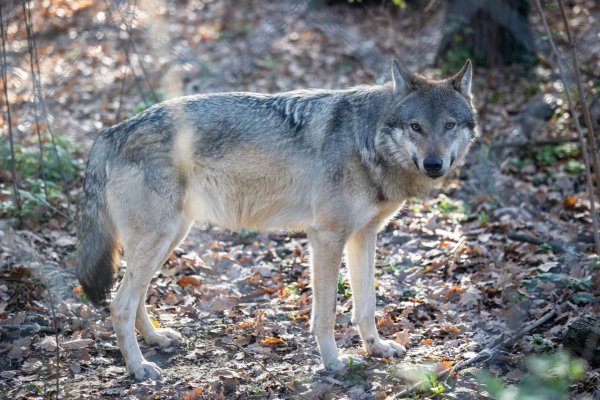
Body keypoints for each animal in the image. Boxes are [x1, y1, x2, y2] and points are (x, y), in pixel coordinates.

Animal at [76, 58, 478, 378]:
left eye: (450, 125)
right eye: (416, 127)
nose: (434, 164)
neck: (367, 143)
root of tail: (110, 132)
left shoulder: (364, 236)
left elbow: (366, 306)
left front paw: (376, 348)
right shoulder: (326, 237)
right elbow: (327, 313)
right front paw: (334, 363)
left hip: (169, 238)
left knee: (136, 296)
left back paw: (157, 338)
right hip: (160, 238)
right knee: (119, 304)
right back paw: (139, 368)